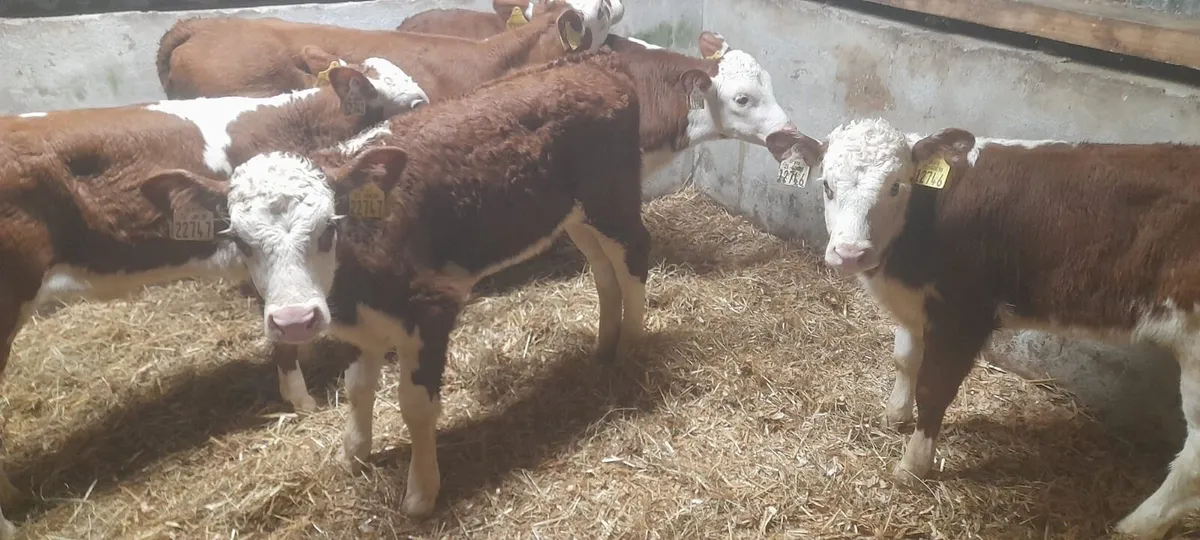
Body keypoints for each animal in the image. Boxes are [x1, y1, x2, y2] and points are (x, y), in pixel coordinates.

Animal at [230, 50, 646, 518]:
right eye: (239, 241)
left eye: (327, 228)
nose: (295, 320)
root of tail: (592, 60)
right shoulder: (362, 324)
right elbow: (357, 387)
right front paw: (354, 452)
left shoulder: (431, 305)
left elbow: (415, 407)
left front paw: (420, 492)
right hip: (576, 215)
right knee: (604, 270)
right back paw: (605, 344)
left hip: (612, 199)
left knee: (634, 256)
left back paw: (631, 346)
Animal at [785, 116, 1200, 539]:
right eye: (826, 185)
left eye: (896, 186)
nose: (850, 253)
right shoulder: (917, 304)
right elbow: (904, 360)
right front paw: (895, 415)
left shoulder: (963, 314)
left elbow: (933, 389)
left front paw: (913, 466)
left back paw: (1135, 525)